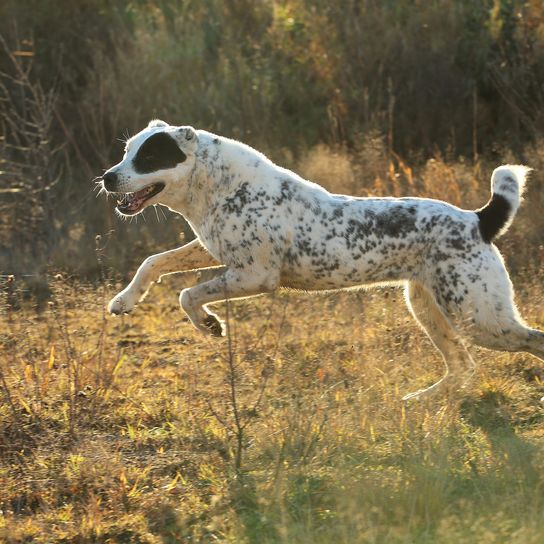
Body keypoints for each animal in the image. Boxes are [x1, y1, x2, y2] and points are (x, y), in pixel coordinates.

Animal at [99, 119, 544, 400]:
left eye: (149, 158)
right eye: (125, 151)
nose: (107, 176)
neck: (218, 187)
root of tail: (478, 220)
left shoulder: (255, 276)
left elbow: (188, 295)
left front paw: (209, 324)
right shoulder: (210, 251)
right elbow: (154, 263)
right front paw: (124, 301)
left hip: (481, 318)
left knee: (528, 341)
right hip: (429, 309)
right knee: (462, 366)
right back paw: (422, 399)